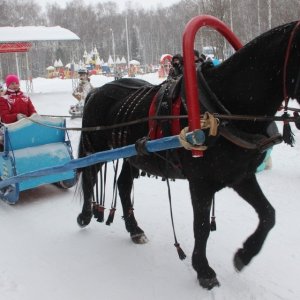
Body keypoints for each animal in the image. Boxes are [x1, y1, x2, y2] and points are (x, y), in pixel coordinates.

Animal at [75, 20, 300, 288]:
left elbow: (268, 214)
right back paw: (85, 215)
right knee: (89, 176)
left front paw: (244, 255)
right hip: (96, 149)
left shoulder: (240, 176)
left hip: (134, 154)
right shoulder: (201, 183)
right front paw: (204, 270)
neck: (220, 108)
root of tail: (96, 91)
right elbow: (201, 227)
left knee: (123, 184)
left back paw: (134, 229)